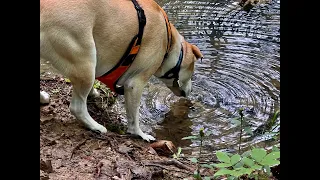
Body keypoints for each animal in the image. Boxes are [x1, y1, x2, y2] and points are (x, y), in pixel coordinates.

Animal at [40, 0, 202, 141]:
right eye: (192, 71)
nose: (191, 91)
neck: (169, 42)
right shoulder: (134, 84)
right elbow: (134, 117)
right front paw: (140, 134)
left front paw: (93, 93)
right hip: (86, 60)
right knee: (77, 107)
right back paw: (95, 126)